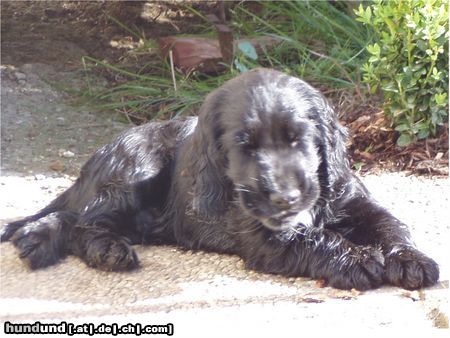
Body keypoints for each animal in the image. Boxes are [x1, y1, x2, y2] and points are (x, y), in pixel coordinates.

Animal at [1, 68, 440, 290]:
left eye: (298, 138)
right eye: (244, 146)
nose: (284, 198)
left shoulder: (355, 201)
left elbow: (389, 225)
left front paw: (411, 260)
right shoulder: (266, 236)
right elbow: (315, 238)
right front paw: (358, 260)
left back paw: (35, 241)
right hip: (137, 167)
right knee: (83, 221)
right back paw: (101, 250)